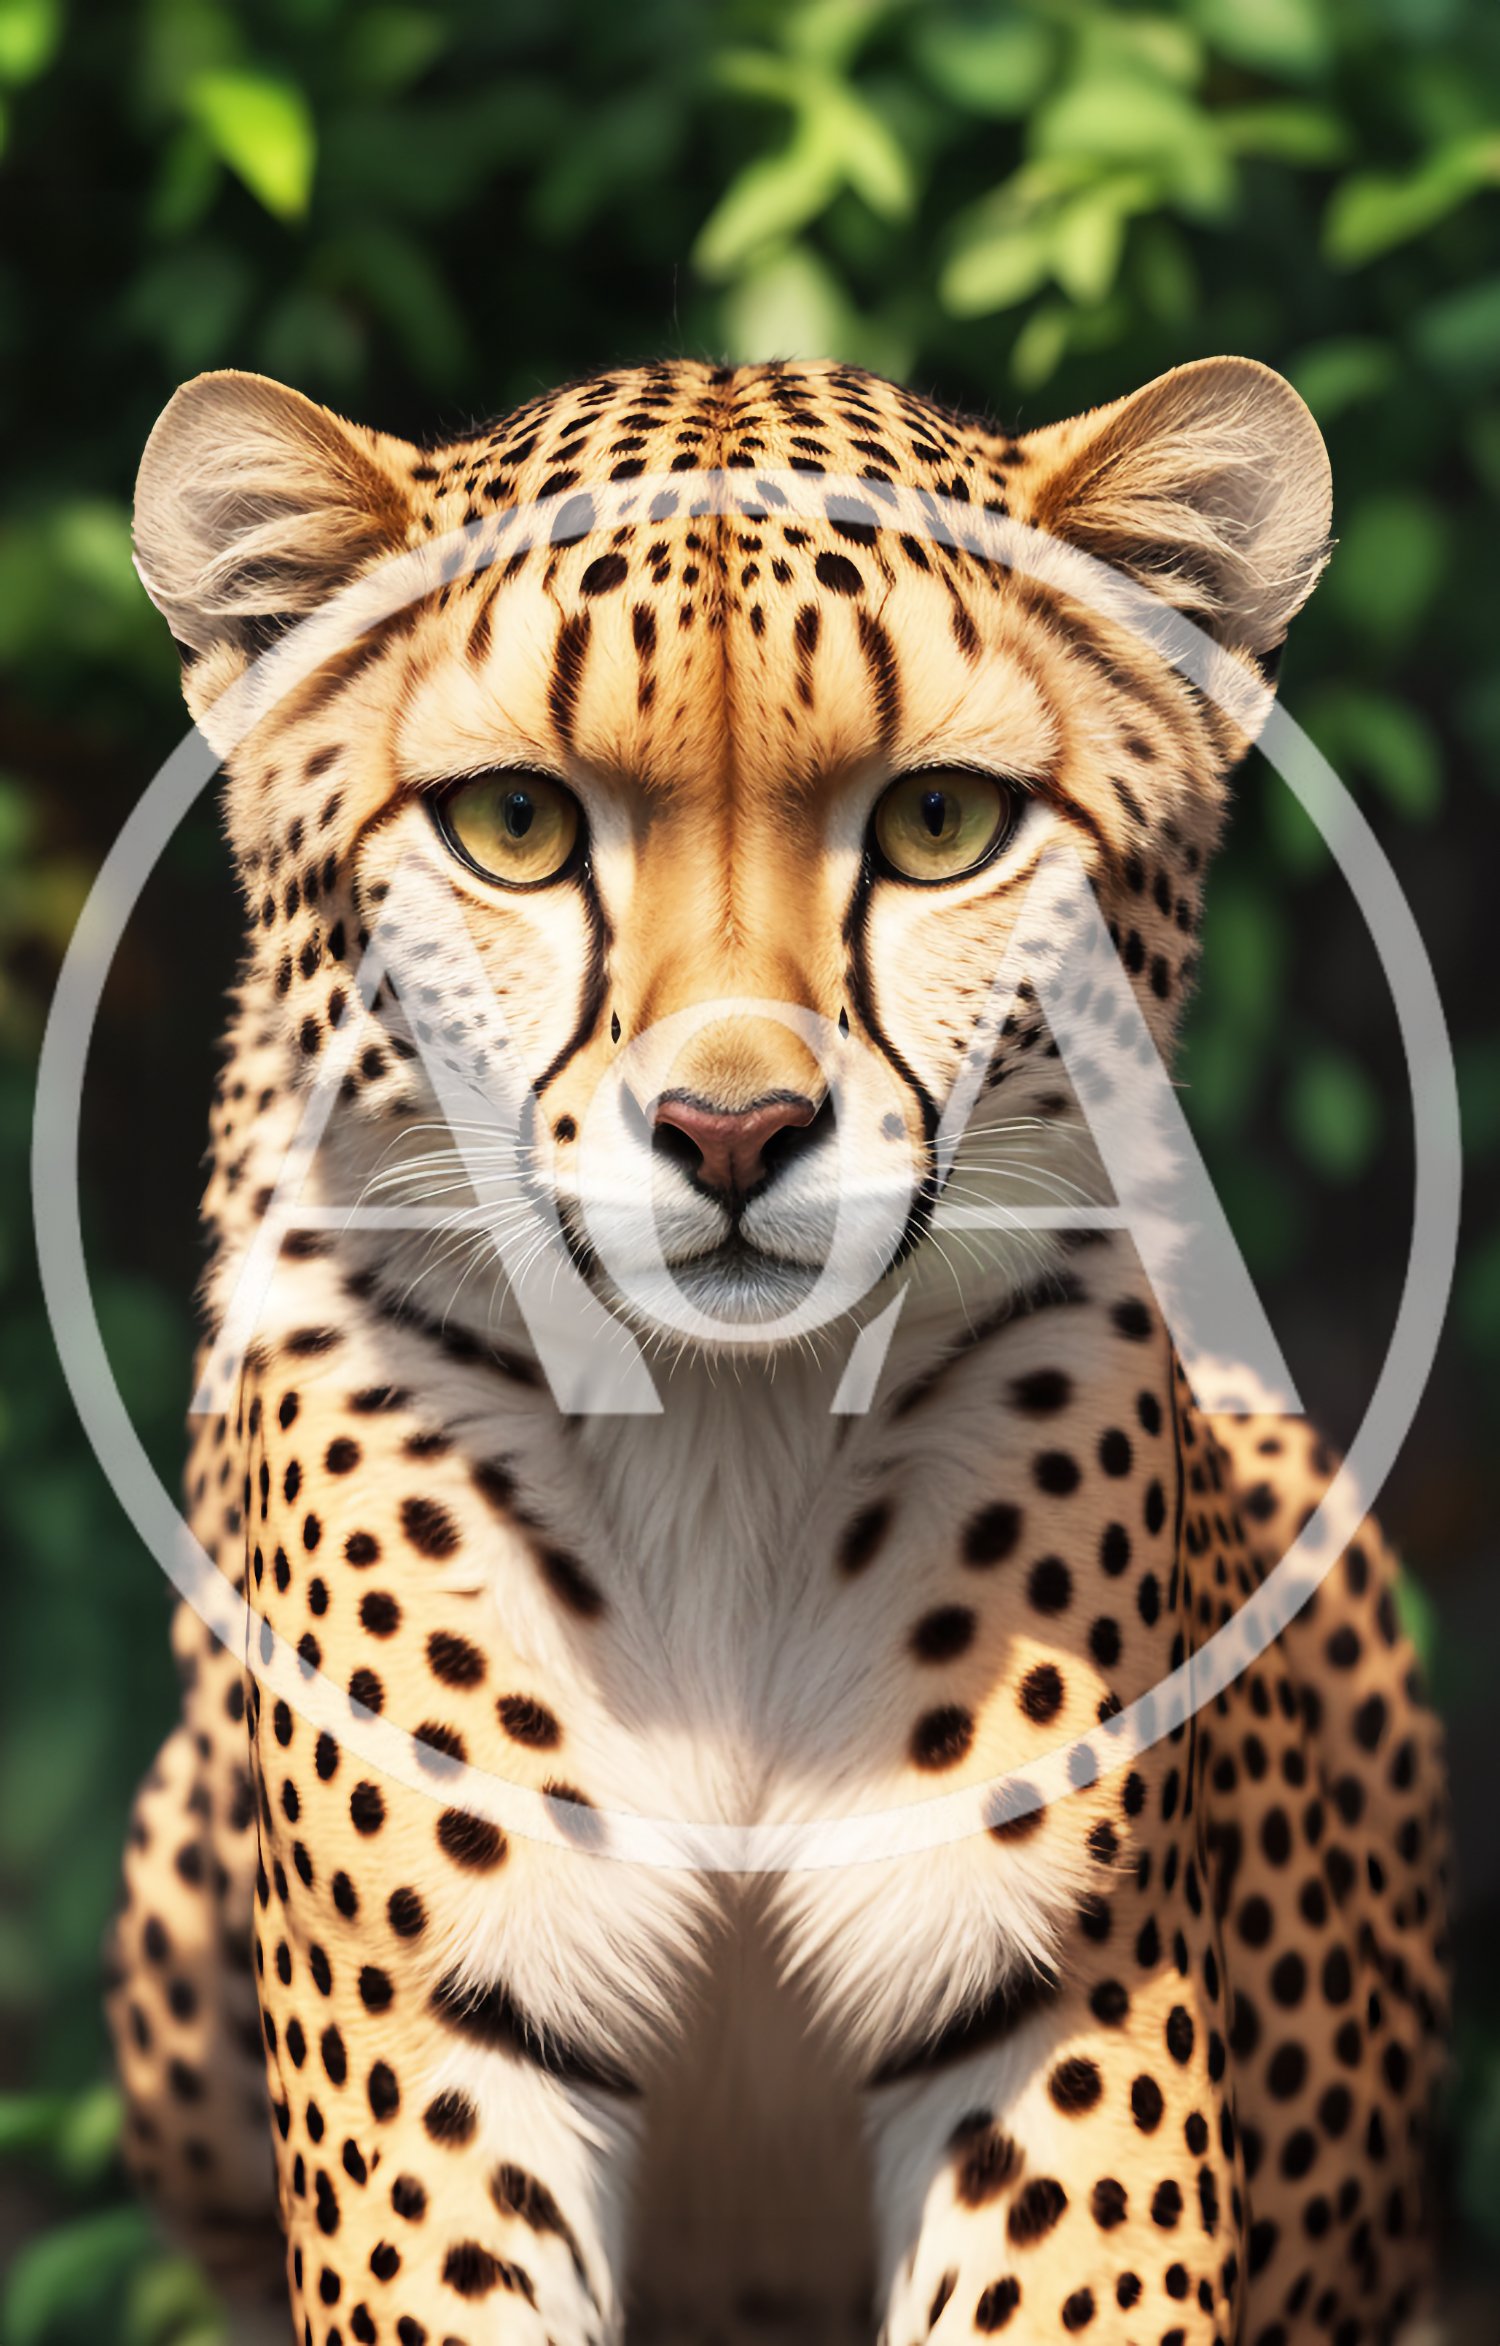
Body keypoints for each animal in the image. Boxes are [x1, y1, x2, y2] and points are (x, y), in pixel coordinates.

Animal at [104, 352, 1450, 2346]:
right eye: (514, 828)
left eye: (941, 826)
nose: (731, 1134)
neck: (722, 1438)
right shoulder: (433, 2032)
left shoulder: (1077, 2005)